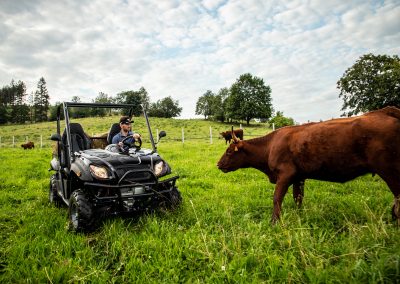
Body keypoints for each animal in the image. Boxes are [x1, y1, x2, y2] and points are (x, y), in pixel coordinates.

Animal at [219, 106, 400, 224]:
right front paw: (299, 216)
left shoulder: (285, 175)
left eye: (229, 152)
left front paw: (274, 222)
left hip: (390, 170)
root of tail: (386, 111)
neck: (270, 145)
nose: (218, 164)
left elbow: (277, 198)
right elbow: (298, 198)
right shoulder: (299, 177)